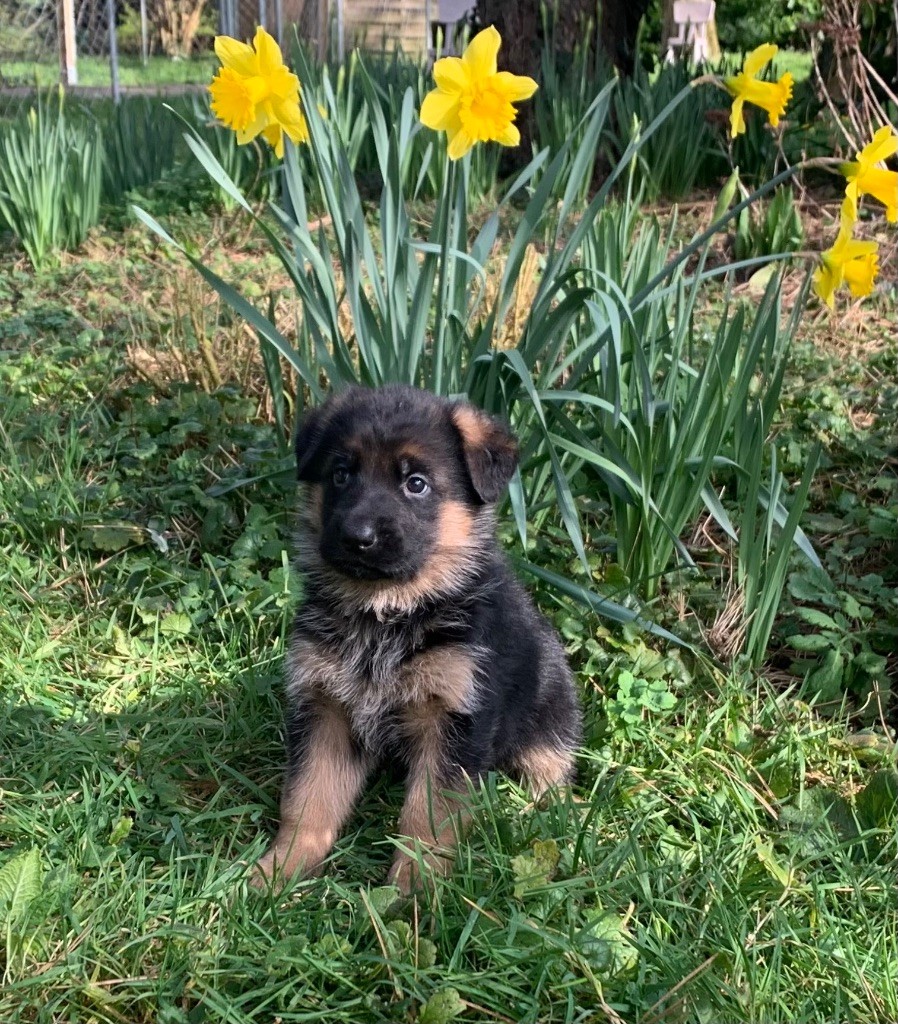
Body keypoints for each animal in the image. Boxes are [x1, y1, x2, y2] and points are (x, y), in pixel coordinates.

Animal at [255, 387, 581, 892]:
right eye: (341, 475)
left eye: (416, 484)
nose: (357, 536)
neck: (388, 611)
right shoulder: (326, 709)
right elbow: (308, 799)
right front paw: (281, 871)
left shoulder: (453, 719)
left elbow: (428, 816)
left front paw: (415, 889)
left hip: (549, 709)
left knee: (552, 768)